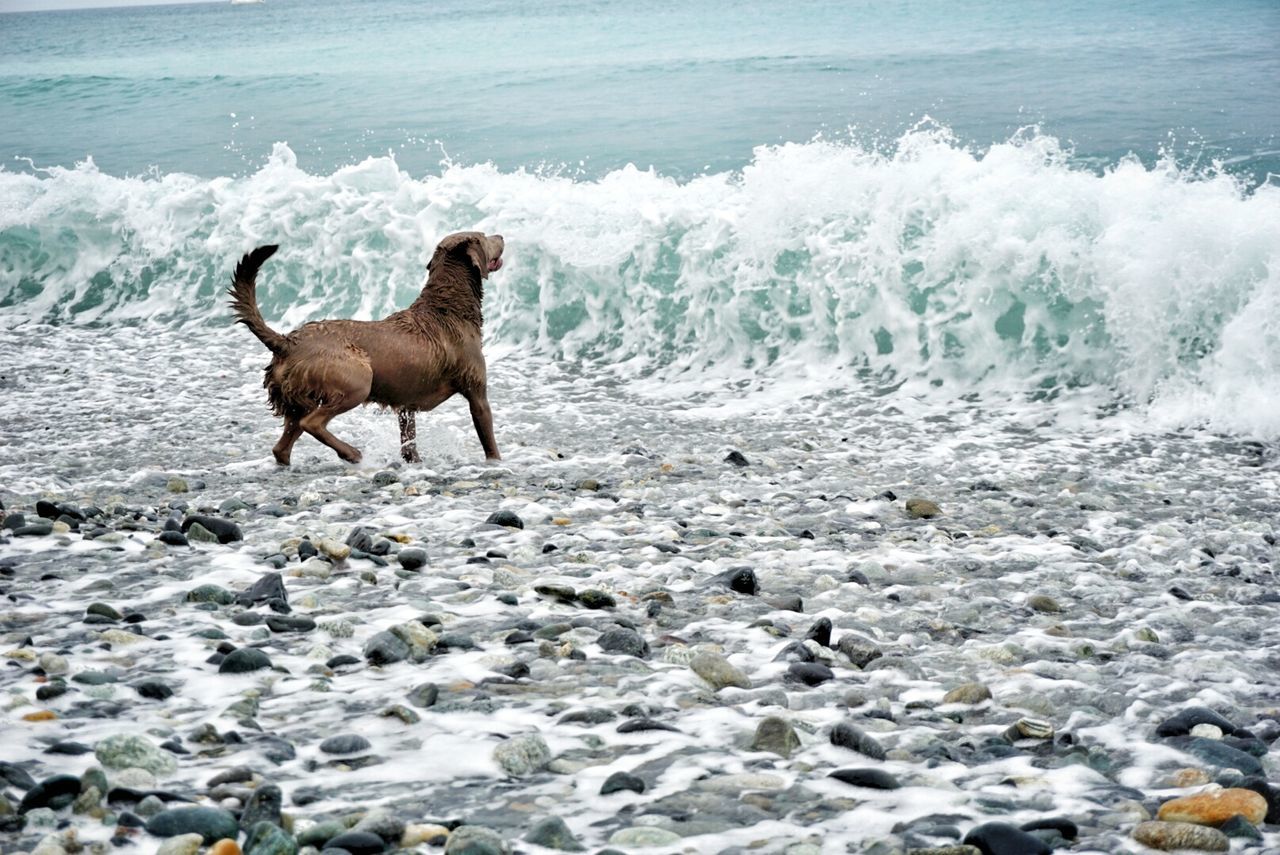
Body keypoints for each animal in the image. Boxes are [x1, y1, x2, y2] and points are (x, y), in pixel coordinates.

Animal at [227, 230, 506, 463]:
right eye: (483, 236)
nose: (502, 236)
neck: (447, 307)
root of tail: (288, 342)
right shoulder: (477, 393)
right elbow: (488, 436)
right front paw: (496, 462)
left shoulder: (407, 404)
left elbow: (408, 438)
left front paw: (413, 461)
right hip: (356, 381)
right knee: (312, 423)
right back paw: (352, 453)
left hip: (297, 396)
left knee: (282, 445)